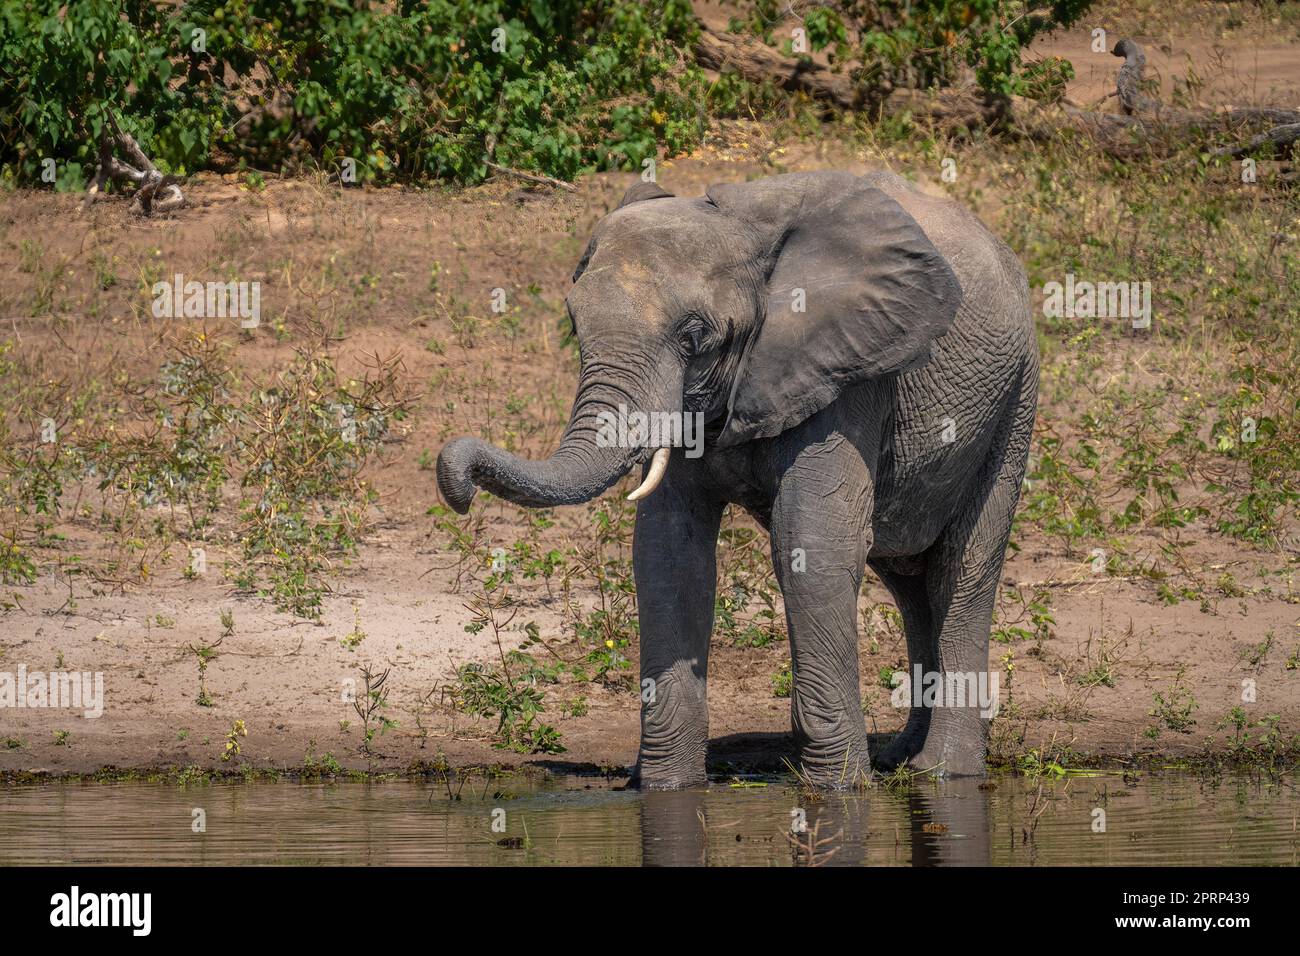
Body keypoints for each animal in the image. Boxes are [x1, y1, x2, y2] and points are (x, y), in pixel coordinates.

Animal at [437, 170, 1038, 789]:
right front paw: (665, 787)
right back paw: (902, 759)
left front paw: (839, 790)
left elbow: (812, 541)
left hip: (1015, 401)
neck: (741, 227)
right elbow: (669, 552)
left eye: (694, 333)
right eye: (574, 325)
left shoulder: (849, 372)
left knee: (961, 572)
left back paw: (943, 774)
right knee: (908, 583)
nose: (458, 481)